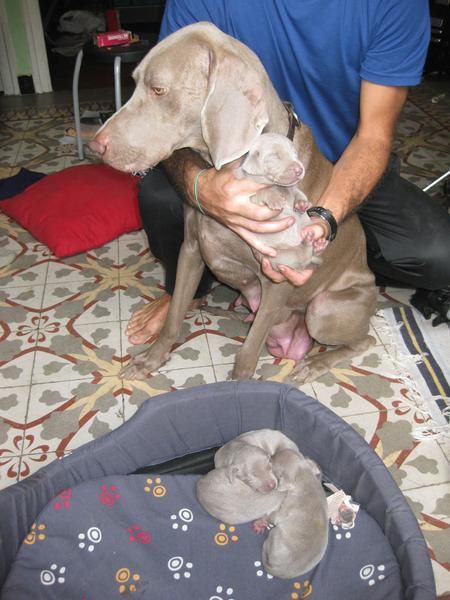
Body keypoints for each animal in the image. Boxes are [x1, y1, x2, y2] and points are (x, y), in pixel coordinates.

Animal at [236, 134, 324, 272]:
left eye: (294, 153)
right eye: (274, 156)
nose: (300, 169)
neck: (279, 186)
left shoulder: (292, 188)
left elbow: (298, 191)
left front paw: (302, 204)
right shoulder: (249, 195)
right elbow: (262, 191)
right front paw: (276, 200)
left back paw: (318, 244)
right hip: (282, 255)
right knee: (302, 257)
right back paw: (309, 242)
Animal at [251, 448, 328, 580]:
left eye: (271, 464)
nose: (269, 455)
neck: (305, 476)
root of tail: (276, 571)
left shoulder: (283, 511)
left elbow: (273, 515)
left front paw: (262, 520)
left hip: (275, 533)